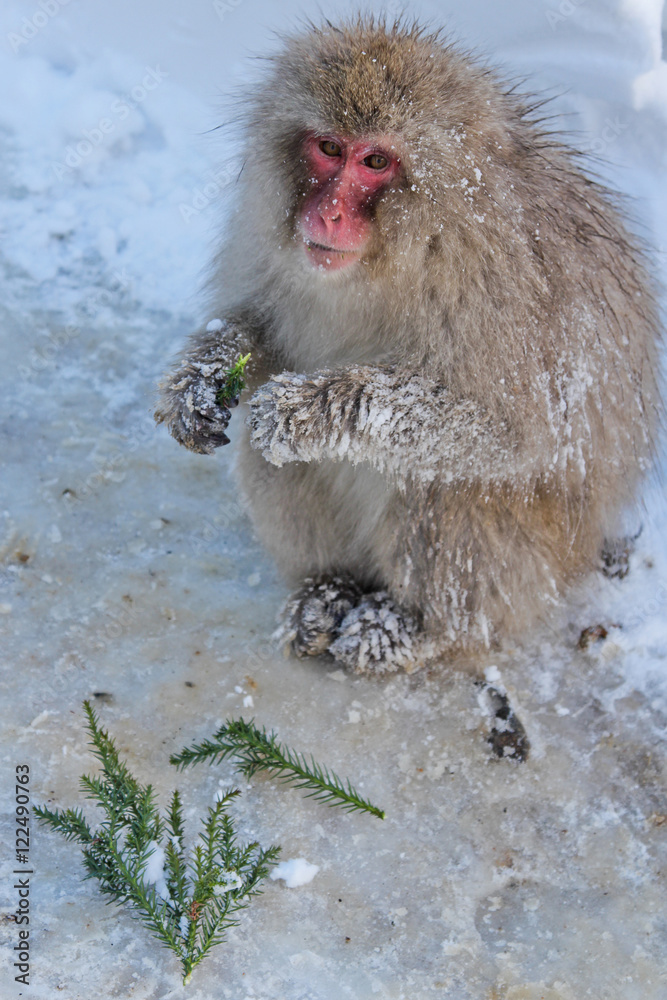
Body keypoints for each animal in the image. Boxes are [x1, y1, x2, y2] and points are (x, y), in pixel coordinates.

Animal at [155, 17, 662, 676]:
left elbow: (510, 432)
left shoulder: (496, 285)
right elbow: (261, 331)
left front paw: (314, 409)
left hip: (539, 560)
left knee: (441, 485)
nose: (329, 212)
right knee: (274, 461)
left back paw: (422, 630)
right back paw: (328, 590)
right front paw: (203, 375)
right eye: (328, 148)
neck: (403, 250)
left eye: (375, 160)